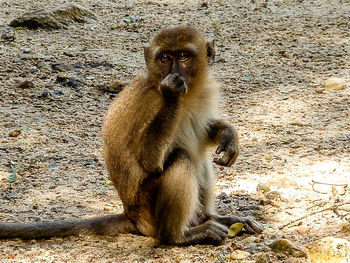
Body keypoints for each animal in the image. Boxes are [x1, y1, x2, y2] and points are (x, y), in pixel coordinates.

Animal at [0, 25, 262, 245]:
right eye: (164, 58)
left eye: (183, 57)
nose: (174, 73)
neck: (187, 97)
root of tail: (131, 214)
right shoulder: (149, 103)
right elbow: (149, 162)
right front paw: (171, 95)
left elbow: (206, 132)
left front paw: (228, 135)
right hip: (148, 209)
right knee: (181, 159)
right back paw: (178, 235)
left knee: (199, 160)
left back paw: (212, 218)